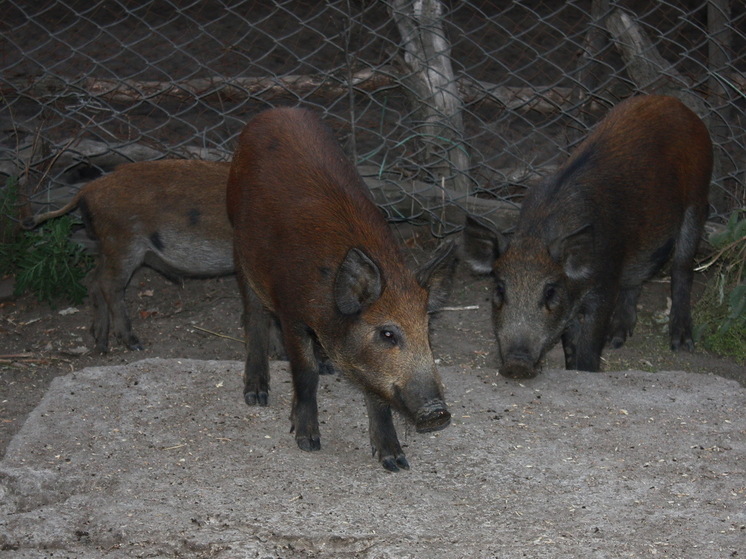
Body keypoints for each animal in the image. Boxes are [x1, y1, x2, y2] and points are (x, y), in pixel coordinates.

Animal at [24, 160, 232, 352]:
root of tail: (88, 189)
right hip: (123, 243)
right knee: (109, 285)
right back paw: (134, 344)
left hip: (109, 247)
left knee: (93, 280)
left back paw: (101, 343)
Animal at [224, 106, 454, 472]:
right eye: (387, 334)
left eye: (427, 330)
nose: (438, 414)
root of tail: (278, 111)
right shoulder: (292, 312)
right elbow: (304, 375)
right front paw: (307, 443)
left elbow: (376, 393)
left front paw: (395, 463)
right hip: (239, 243)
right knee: (254, 315)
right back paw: (257, 396)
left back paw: (324, 366)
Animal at [462, 95, 712, 380]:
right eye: (500, 289)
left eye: (550, 291)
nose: (517, 364)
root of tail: (676, 103)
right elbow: (570, 343)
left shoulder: (604, 285)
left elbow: (590, 344)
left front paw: (587, 370)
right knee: (636, 277)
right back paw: (617, 339)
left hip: (698, 200)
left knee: (682, 267)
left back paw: (681, 344)